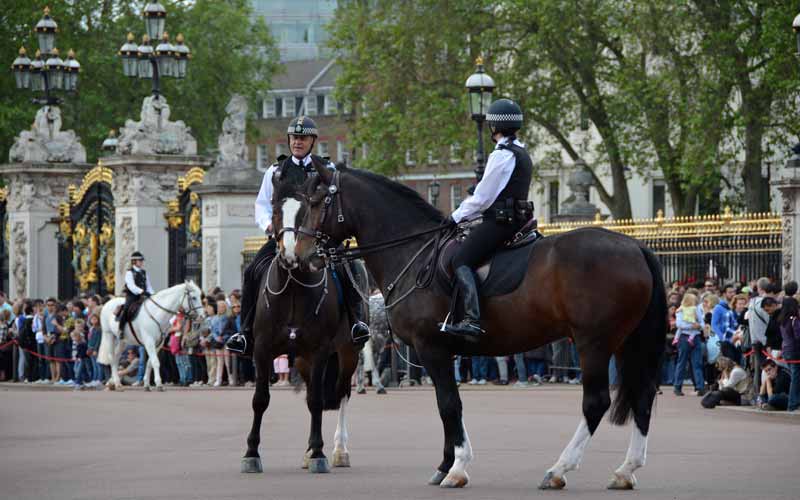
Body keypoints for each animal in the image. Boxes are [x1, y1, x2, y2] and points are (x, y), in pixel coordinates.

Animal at [239, 177, 360, 476]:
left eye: (306, 212)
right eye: (275, 210)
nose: (292, 255)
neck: (293, 289)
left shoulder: (320, 351)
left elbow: (318, 401)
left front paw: (319, 454)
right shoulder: (262, 350)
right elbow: (260, 399)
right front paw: (251, 453)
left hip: (347, 352)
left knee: (342, 393)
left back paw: (339, 451)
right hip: (303, 361)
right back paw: (307, 453)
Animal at [284, 163, 664, 488]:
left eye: (316, 202)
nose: (301, 255)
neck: (414, 253)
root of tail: (636, 245)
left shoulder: (430, 347)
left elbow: (448, 404)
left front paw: (457, 467)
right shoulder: (443, 350)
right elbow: (448, 405)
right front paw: (445, 464)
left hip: (594, 344)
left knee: (596, 402)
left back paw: (560, 468)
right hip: (627, 343)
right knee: (643, 396)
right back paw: (626, 470)